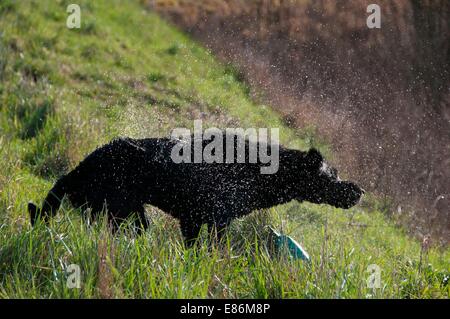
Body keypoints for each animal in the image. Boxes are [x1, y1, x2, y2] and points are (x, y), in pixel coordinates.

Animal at [28, 134, 364, 245]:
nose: (358, 190)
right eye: (332, 176)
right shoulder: (216, 221)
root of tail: (78, 168)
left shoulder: (192, 221)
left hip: (127, 212)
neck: (260, 171)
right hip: (121, 210)